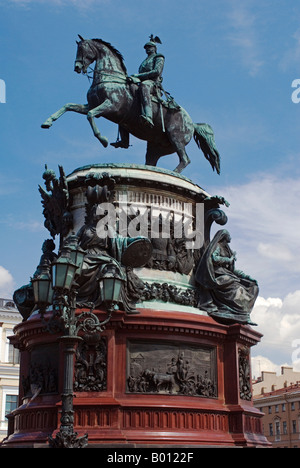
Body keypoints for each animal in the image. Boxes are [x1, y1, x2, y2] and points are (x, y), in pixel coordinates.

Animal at [41, 36, 220, 175]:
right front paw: (48, 122)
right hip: (156, 146)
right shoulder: (91, 104)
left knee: (185, 159)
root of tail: (192, 123)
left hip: (175, 138)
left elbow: (90, 115)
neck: (110, 77)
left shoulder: (110, 106)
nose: (77, 67)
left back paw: (174, 173)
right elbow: (68, 106)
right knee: (152, 162)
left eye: (83, 49)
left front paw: (103, 139)